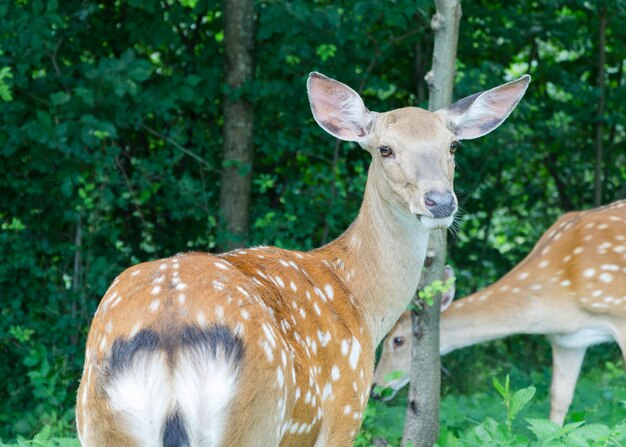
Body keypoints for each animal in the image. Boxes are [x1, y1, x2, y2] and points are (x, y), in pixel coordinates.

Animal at [75, 72, 528, 446]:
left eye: (452, 145)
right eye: (385, 149)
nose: (440, 201)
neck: (361, 301)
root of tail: (169, 336)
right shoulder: (345, 407)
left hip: (95, 424)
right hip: (257, 419)